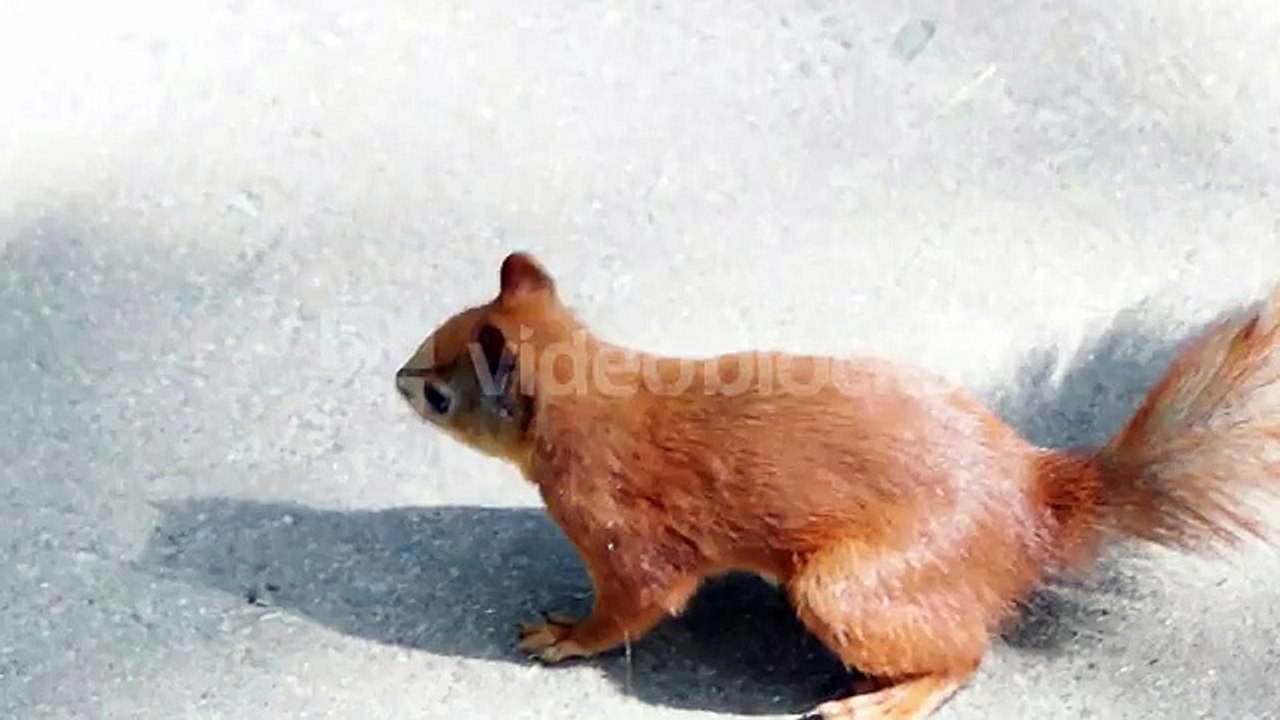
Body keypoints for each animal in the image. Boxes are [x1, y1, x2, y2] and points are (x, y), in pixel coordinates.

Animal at [395, 252, 1280, 720]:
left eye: (443, 393)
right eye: (435, 329)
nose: (398, 379)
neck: (593, 399)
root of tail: (1034, 501)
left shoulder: (624, 532)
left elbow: (635, 603)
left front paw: (566, 634)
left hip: (845, 588)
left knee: (963, 657)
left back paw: (877, 702)